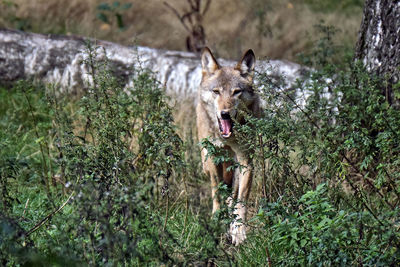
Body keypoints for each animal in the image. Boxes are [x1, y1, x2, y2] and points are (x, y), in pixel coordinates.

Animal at [196, 47, 260, 246]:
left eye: (236, 92)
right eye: (216, 91)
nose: (225, 114)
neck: (228, 138)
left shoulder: (246, 160)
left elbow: (241, 200)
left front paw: (238, 231)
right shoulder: (212, 156)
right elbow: (216, 191)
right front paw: (217, 220)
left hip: (235, 164)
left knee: (232, 191)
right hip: (207, 160)